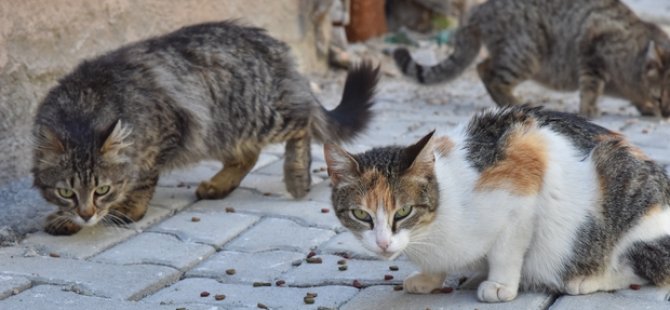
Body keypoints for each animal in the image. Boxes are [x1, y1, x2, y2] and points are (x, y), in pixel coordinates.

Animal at [31, 21, 380, 235]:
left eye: (102, 189)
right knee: (249, 156)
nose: (86, 214)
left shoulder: (167, 130)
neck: (85, 106)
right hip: (222, 130)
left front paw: (128, 208)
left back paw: (296, 177)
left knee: (302, 122)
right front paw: (67, 219)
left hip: (258, 115)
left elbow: (142, 180)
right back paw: (218, 186)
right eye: (66, 192)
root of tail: (273, 46)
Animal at [326, 105, 670, 302]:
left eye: (404, 211)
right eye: (361, 214)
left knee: (645, 270)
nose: (383, 243)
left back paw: (584, 280)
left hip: (625, 197)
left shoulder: (524, 176)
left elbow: (507, 249)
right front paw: (430, 277)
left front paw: (501, 284)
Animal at [394, 0, 670, 118]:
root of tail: (477, 10)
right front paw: (590, 110)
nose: (666, 115)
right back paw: (513, 101)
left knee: (485, 67)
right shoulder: (592, 46)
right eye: (660, 97)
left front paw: (644, 107)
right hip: (526, 53)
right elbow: (591, 87)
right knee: (487, 71)